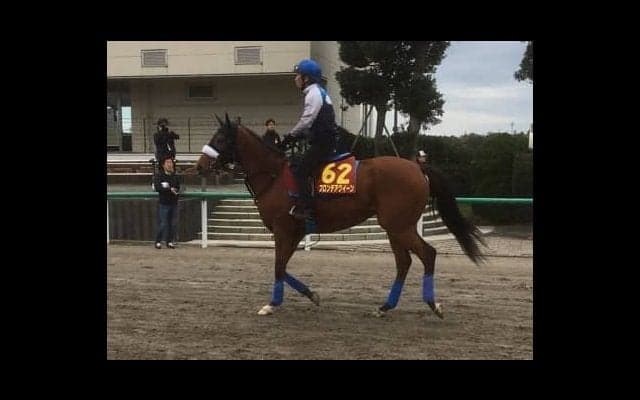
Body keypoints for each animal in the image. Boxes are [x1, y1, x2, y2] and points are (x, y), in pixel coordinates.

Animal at [196, 114, 485, 318]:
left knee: (427, 254)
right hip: (395, 227)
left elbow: (278, 266)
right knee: (404, 262)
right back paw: (385, 307)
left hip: (399, 226)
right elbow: (283, 267)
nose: (199, 165)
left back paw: (433, 304)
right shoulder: (295, 232)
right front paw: (311, 295)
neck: (274, 176)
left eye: (220, 139)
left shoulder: (283, 229)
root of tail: (417, 167)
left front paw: (272, 304)